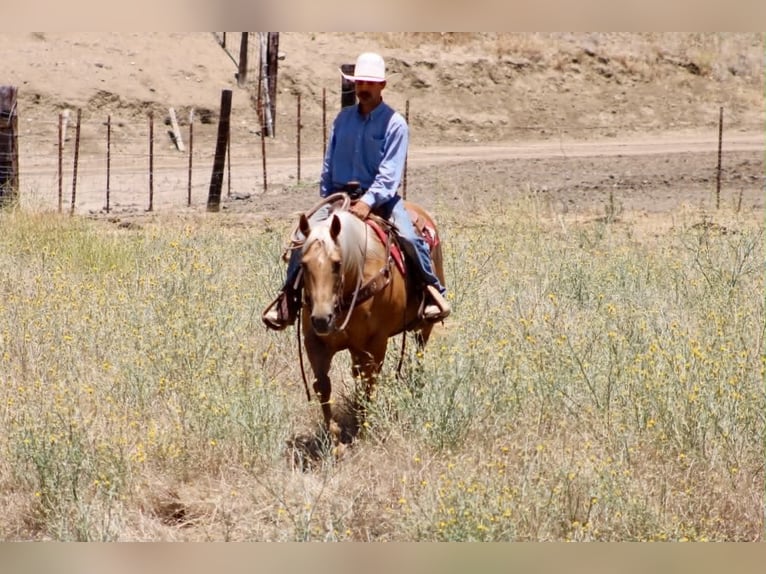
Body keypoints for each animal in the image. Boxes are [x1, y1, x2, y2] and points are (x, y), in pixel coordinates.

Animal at [296, 198, 446, 445]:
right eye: (303, 264)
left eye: (337, 263)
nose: (321, 319)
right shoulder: (315, 342)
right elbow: (323, 385)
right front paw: (334, 438)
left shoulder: (376, 342)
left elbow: (369, 382)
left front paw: (365, 431)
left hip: (424, 327)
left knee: (419, 355)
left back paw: (417, 390)